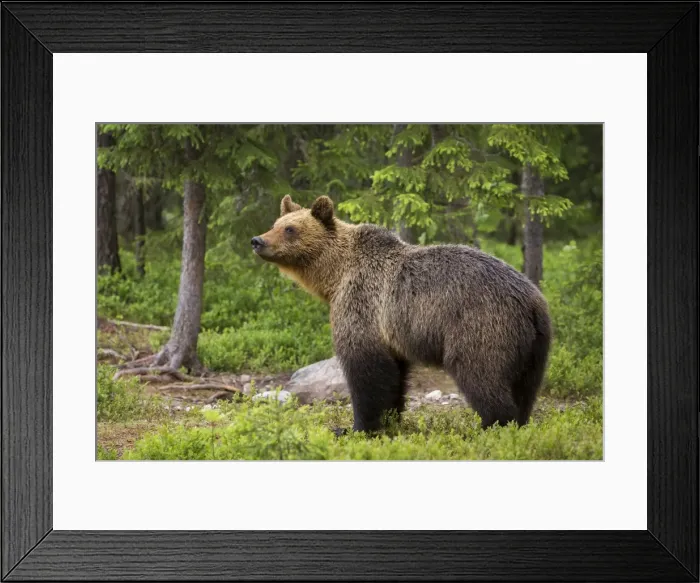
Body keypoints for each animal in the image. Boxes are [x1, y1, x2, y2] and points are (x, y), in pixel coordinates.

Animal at [252, 194, 552, 433]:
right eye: (276, 223)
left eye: (290, 228)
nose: (257, 240)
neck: (334, 277)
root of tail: (531, 301)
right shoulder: (391, 332)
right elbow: (394, 375)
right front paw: (390, 419)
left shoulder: (363, 305)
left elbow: (366, 372)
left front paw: (355, 427)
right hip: (534, 346)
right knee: (525, 388)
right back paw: (520, 421)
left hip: (481, 325)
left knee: (482, 376)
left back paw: (493, 425)